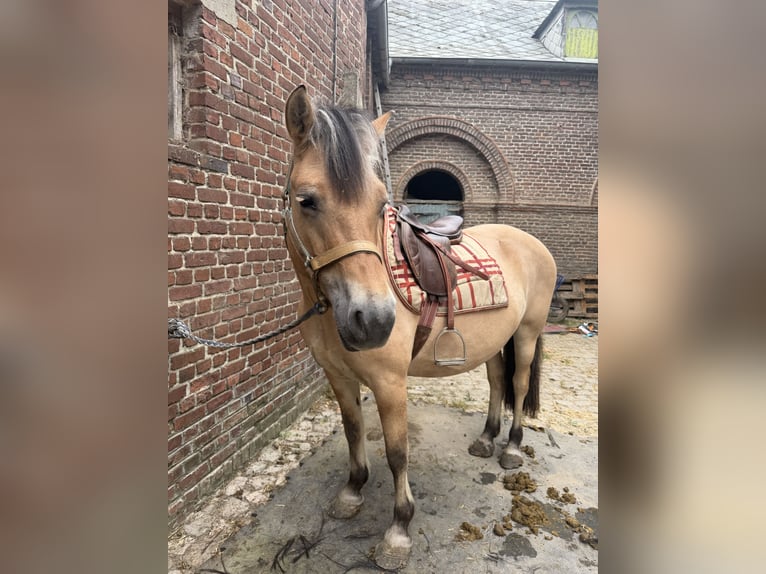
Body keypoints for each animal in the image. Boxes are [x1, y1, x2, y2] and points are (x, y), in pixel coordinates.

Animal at [281, 85, 557, 570]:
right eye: (306, 200)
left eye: (379, 205)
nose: (374, 320)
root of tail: (532, 243)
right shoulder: (338, 377)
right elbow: (353, 430)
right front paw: (351, 493)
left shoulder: (390, 383)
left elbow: (397, 452)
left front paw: (398, 531)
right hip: (494, 342)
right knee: (497, 382)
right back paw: (486, 439)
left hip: (525, 335)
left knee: (520, 386)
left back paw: (510, 448)